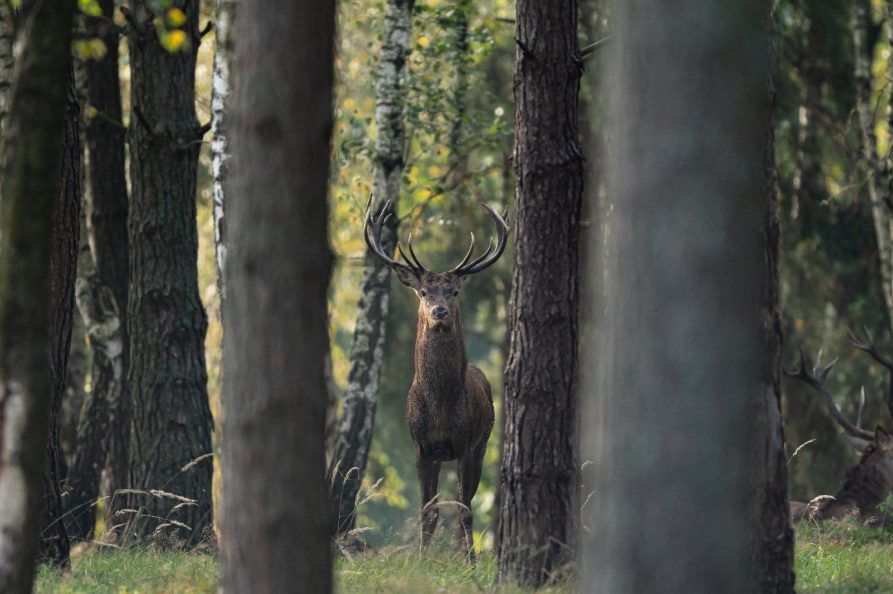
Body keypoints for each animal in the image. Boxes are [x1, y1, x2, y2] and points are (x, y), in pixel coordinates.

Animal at [360, 199, 502, 560]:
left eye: (454, 291)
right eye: (424, 292)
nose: (439, 311)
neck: (440, 407)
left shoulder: (465, 443)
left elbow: (465, 510)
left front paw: (470, 563)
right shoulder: (422, 446)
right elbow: (428, 510)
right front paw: (421, 560)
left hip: (484, 441)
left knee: (468, 499)